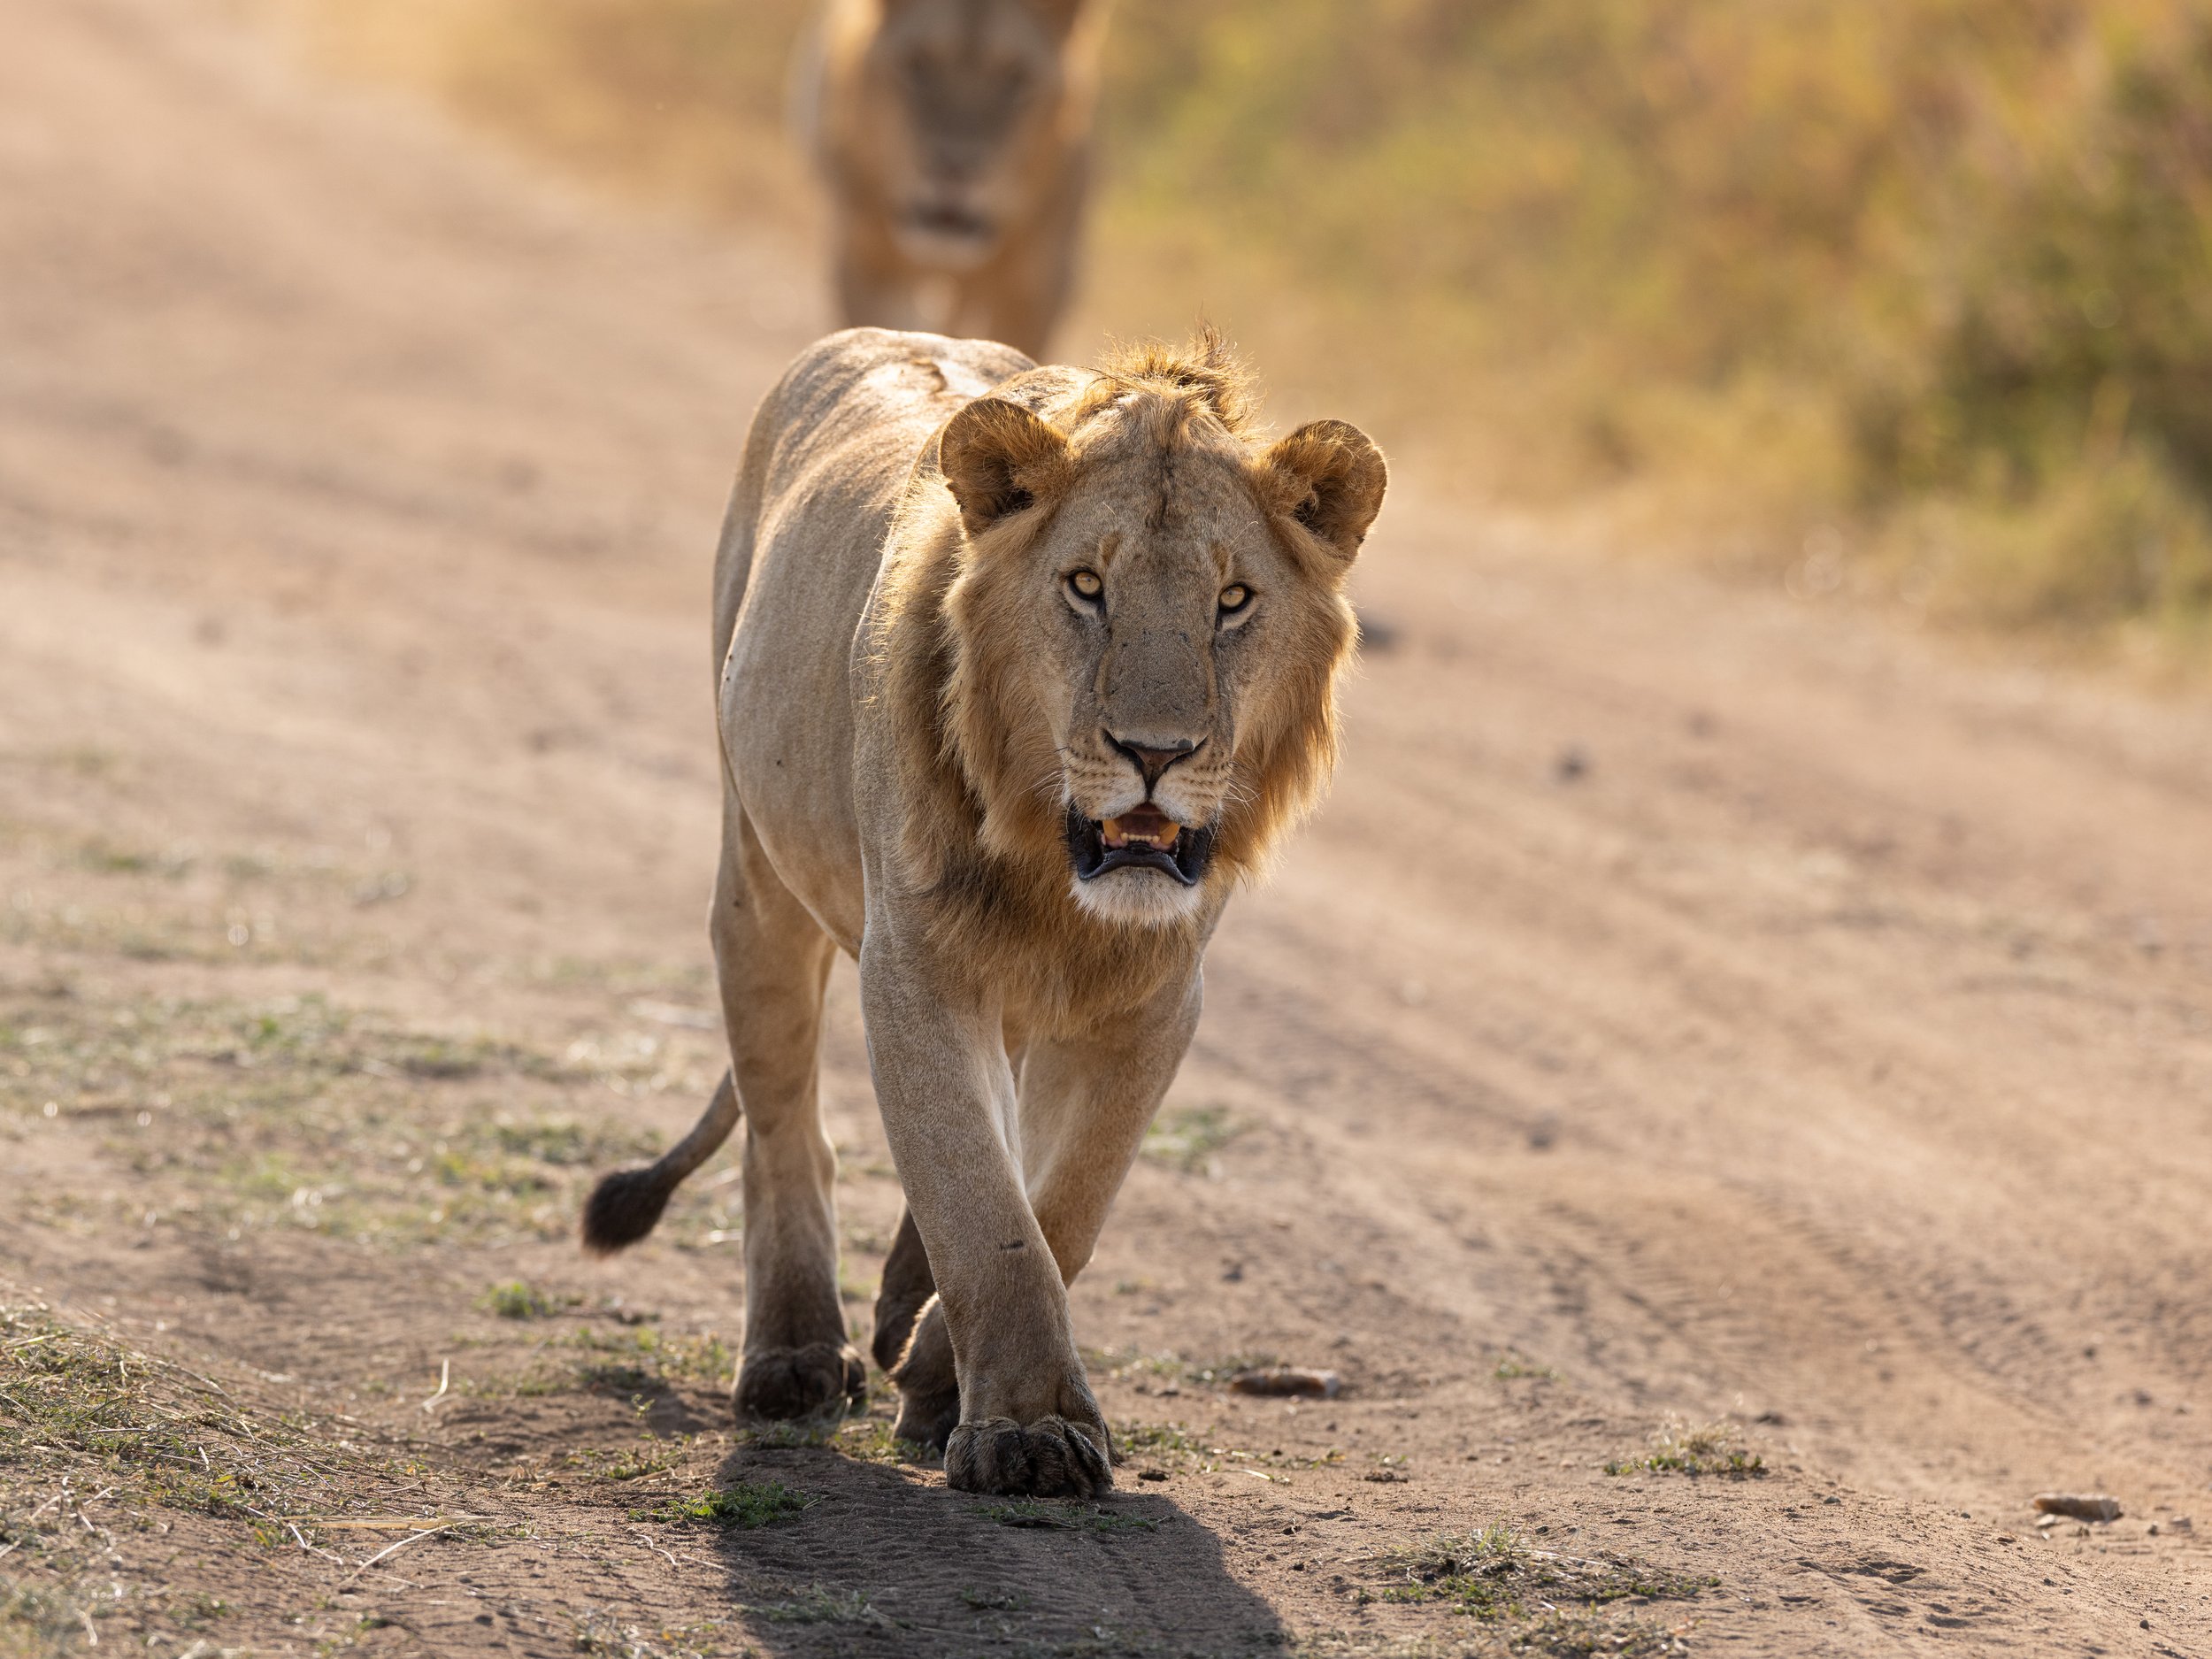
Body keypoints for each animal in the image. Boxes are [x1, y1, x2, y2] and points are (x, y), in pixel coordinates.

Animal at [581, 325, 1385, 1498]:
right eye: (1085, 586)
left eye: (1233, 601)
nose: (1155, 754)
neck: (1058, 875)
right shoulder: (913, 966)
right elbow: (981, 1203)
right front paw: (1026, 1433)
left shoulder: (1152, 1002)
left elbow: (1062, 1205)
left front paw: (942, 1380)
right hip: (756, 873)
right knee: (783, 1123)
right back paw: (793, 1356)